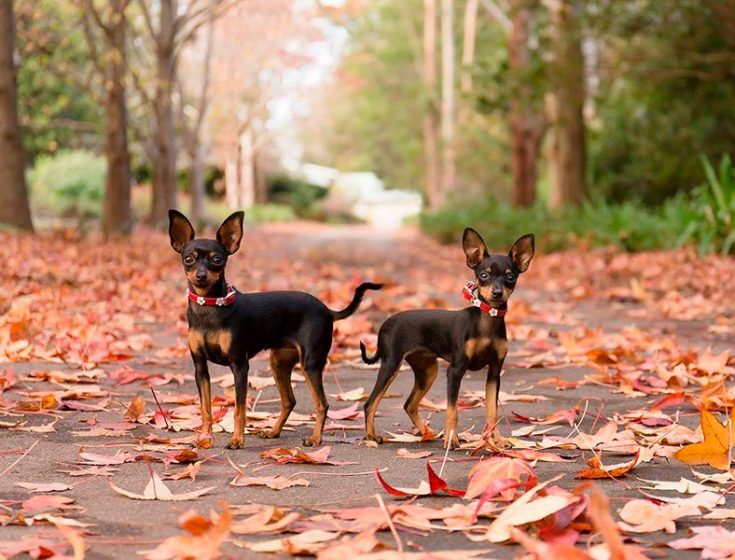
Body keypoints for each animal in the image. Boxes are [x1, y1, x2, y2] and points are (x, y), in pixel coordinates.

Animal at [169, 210, 382, 450]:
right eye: (188, 259)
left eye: (217, 260)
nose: (201, 275)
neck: (210, 306)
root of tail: (327, 310)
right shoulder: (200, 367)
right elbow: (205, 407)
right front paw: (204, 438)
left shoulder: (239, 365)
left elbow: (239, 409)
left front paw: (237, 440)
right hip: (279, 363)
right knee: (289, 401)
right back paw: (273, 432)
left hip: (310, 364)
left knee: (322, 404)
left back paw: (315, 438)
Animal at [360, 225, 536, 448]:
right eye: (484, 275)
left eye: (510, 277)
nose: (497, 293)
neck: (488, 319)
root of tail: (385, 324)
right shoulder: (455, 371)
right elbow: (453, 410)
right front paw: (452, 439)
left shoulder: (494, 372)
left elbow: (492, 412)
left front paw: (497, 440)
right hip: (391, 364)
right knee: (370, 403)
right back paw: (371, 437)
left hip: (428, 370)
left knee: (409, 404)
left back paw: (427, 433)